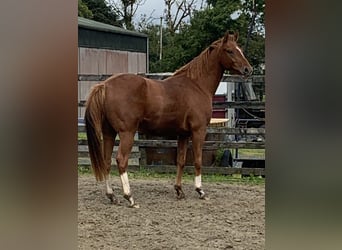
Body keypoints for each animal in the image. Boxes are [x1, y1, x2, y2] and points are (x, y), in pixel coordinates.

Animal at [84, 30, 252, 207]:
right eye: (229, 50)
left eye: (240, 49)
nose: (248, 69)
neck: (197, 85)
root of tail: (105, 86)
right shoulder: (198, 131)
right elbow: (198, 160)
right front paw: (200, 191)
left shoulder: (183, 134)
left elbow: (181, 161)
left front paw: (179, 190)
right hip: (126, 133)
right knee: (121, 161)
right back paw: (129, 197)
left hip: (109, 133)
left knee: (106, 162)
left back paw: (112, 195)